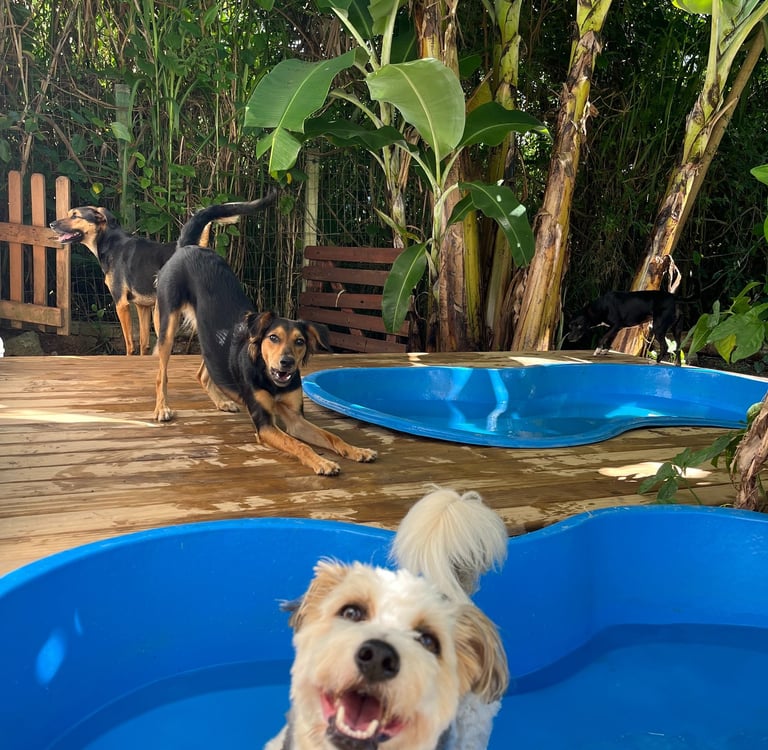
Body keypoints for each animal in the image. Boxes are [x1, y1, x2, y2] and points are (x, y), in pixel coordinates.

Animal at [153, 195, 377, 476]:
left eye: (300, 342)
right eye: (273, 338)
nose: (286, 362)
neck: (269, 377)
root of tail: (188, 247)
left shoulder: (295, 419)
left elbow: (331, 436)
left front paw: (357, 450)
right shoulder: (265, 425)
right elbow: (300, 445)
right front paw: (323, 462)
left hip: (208, 337)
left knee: (204, 372)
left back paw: (222, 401)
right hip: (167, 326)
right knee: (161, 374)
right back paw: (162, 408)